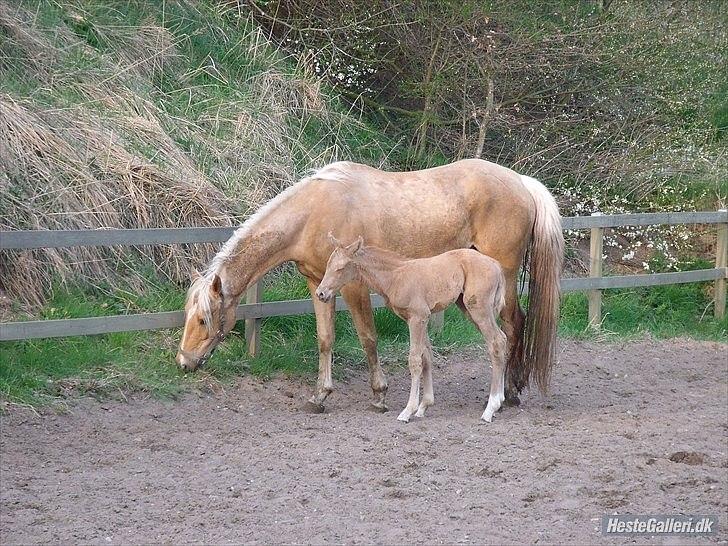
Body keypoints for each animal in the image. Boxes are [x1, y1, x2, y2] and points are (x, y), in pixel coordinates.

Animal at [316, 235, 510, 420]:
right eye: (328, 265)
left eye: (340, 268)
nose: (321, 293)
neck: (396, 277)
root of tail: (496, 265)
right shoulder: (419, 319)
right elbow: (427, 357)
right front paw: (424, 406)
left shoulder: (418, 317)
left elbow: (415, 360)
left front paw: (408, 411)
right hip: (467, 307)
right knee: (502, 338)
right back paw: (499, 401)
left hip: (479, 309)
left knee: (496, 342)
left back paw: (490, 408)